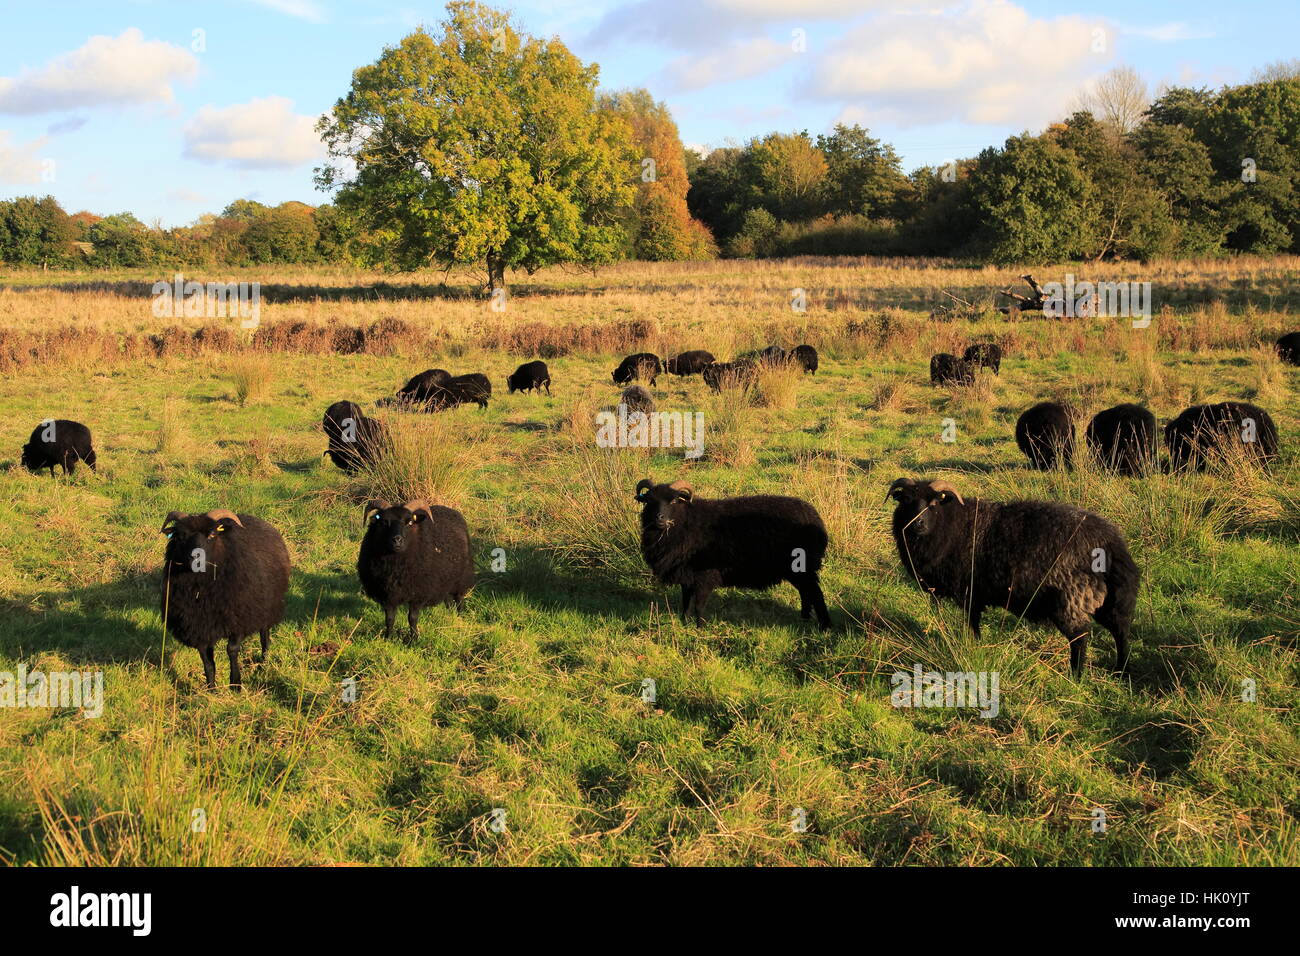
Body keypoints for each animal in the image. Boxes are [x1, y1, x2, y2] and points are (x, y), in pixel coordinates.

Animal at [159, 509, 291, 689]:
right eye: (181, 536)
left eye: (212, 534)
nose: (196, 559)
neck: (201, 593)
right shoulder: (197, 628)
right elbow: (208, 662)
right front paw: (211, 688)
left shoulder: (238, 619)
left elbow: (232, 650)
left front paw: (235, 684)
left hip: (266, 606)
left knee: (265, 636)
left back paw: (264, 663)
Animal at [357, 499, 474, 640]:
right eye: (384, 522)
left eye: (409, 522)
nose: (397, 540)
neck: (396, 566)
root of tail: (449, 509)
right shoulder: (388, 594)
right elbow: (389, 618)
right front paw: (388, 637)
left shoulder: (418, 593)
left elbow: (412, 618)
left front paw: (414, 638)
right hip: (445, 578)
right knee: (448, 599)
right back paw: (450, 615)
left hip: (461, 577)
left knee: (459, 599)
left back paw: (460, 617)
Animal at [635, 478, 830, 629]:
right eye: (649, 501)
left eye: (674, 501)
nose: (659, 518)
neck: (687, 522)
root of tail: (815, 517)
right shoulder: (686, 575)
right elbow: (686, 603)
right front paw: (684, 623)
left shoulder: (705, 576)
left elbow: (699, 605)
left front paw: (700, 628)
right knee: (806, 592)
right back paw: (805, 618)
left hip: (802, 566)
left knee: (815, 593)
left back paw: (824, 626)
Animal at [887, 478, 1139, 675]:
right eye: (906, 501)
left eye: (933, 504)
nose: (917, 524)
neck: (953, 524)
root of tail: (1111, 543)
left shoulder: (970, 593)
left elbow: (972, 624)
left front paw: (973, 647)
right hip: (1109, 599)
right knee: (1121, 631)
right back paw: (1121, 670)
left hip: (1070, 598)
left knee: (1080, 638)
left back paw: (1076, 675)